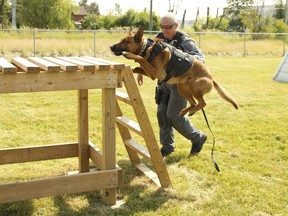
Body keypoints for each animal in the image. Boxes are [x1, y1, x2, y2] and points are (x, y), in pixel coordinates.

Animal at [109, 27, 237, 116]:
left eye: (125, 42)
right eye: (121, 40)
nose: (111, 46)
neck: (147, 48)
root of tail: (211, 77)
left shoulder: (157, 73)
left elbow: (140, 59)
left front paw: (129, 55)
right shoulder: (152, 74)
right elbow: (137, 67)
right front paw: (132, 68)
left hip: (193, 86)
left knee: (202, 103)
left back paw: (191, 111)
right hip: (182, 87)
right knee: (194, 103)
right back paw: (185, 111)